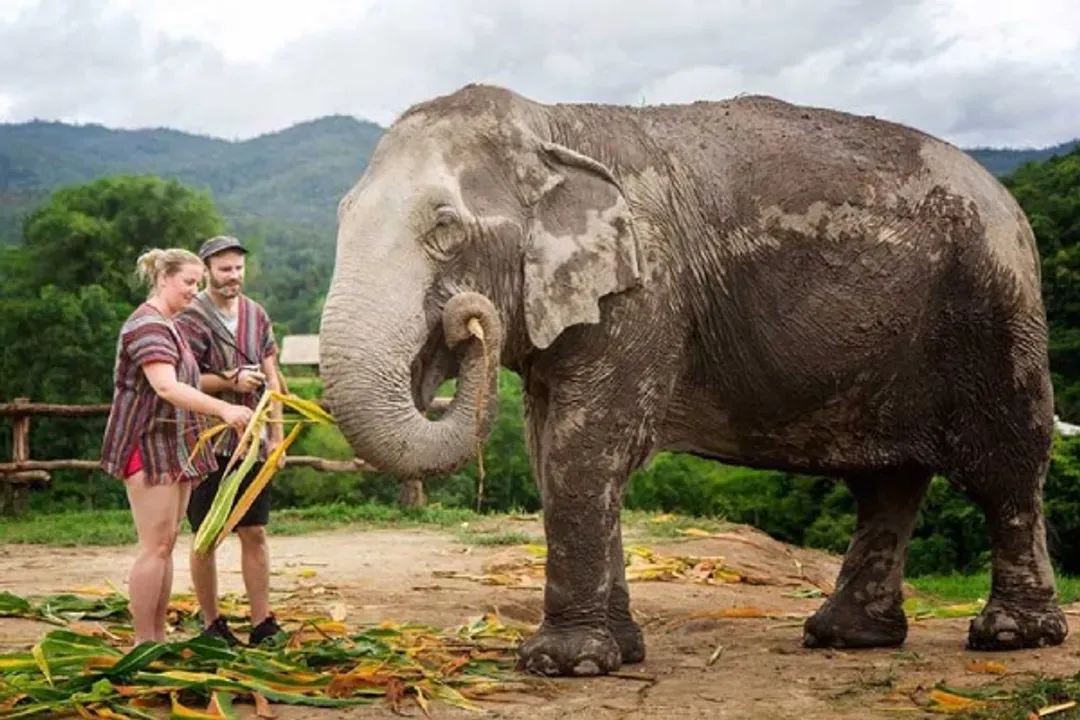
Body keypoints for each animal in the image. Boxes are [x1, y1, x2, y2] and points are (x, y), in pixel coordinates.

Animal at [318, 83, 1068, 677]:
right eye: (342, 214)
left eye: (445, 227)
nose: (466, 322)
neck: (553, 124)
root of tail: (1009, 201)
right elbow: (549, 450)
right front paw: (619, 652)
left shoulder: (646, 289)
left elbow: (586, 447)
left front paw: (564, 664)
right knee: (888, 483)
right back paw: (846, 638)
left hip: (994, 308)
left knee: (1006, 464)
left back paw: (1011, 637)